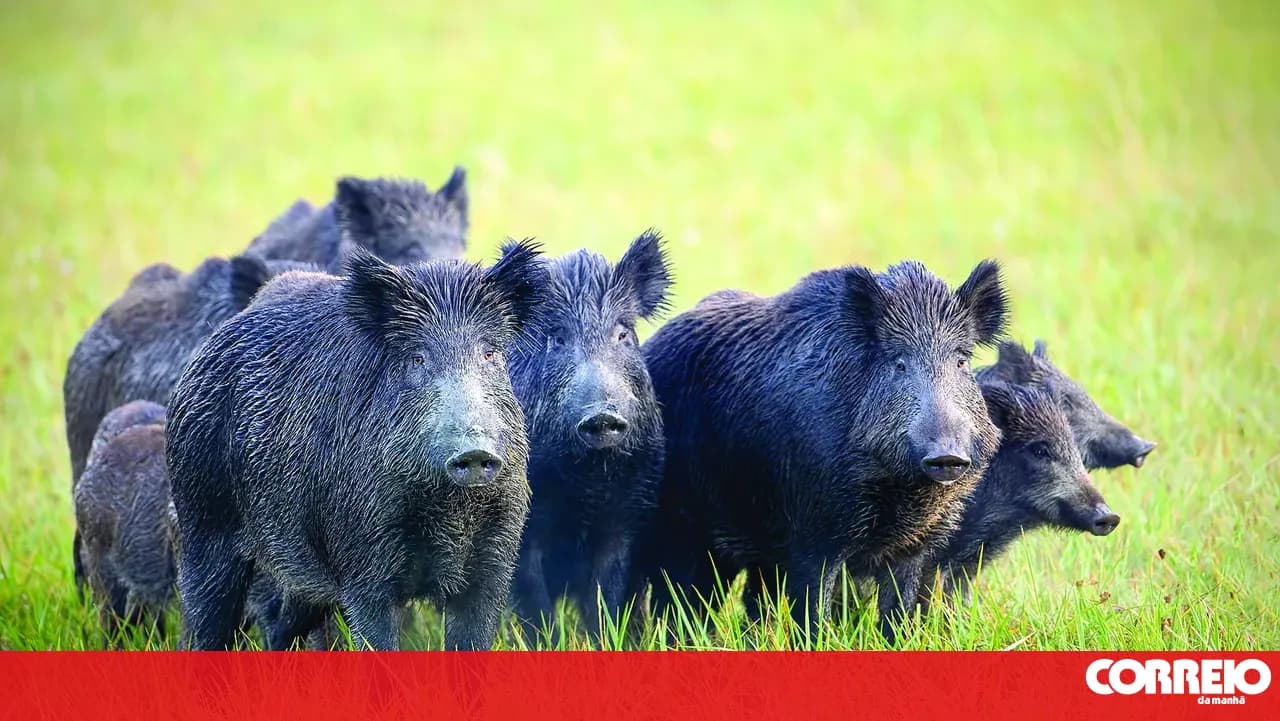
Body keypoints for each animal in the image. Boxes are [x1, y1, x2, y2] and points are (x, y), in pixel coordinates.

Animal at [166, 242, 549, 650]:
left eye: (490, 354)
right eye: (417, 358)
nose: (475, 451)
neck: (449, 507)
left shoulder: (494, 561)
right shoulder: (363, 563)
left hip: (297, 575)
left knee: (280, 623)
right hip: (202, 521)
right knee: (204, 617)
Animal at [507, 230, 672, 643]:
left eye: (623, 333)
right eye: (557, 338)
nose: (602, 415)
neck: (588, 482)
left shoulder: (627, 518)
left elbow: (606, 599)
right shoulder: (524, 531)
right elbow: (535, 606)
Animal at [633, 259, 1010, 640]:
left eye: (962, 361)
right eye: (899, 362)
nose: (947, 455)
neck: (901, 490)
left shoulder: (914, 546)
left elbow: (897, 614)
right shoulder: (814, 533)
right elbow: (813, 612)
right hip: (682, 525)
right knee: (680, 598)